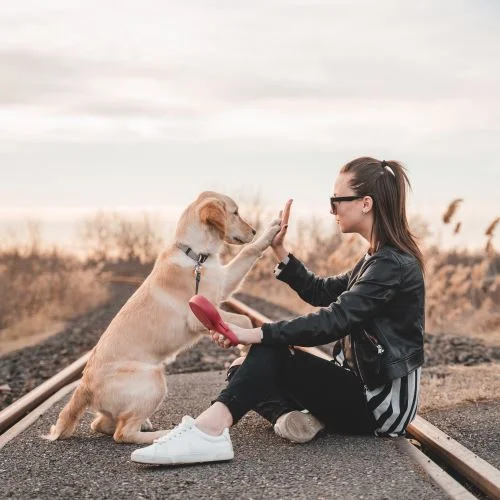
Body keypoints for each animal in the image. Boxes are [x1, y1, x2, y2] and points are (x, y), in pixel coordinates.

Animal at [44, 192, 280, 446]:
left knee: (101, 424)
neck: (196, 256)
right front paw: (244, 348)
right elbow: (244, 319)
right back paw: (161, 434)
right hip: (154, 378)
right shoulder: (198, 314)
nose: (254, 230)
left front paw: (271, 231)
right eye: (235, 213)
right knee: (122, 433)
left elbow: (248, 252)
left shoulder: (223, 283)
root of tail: (83, 386)